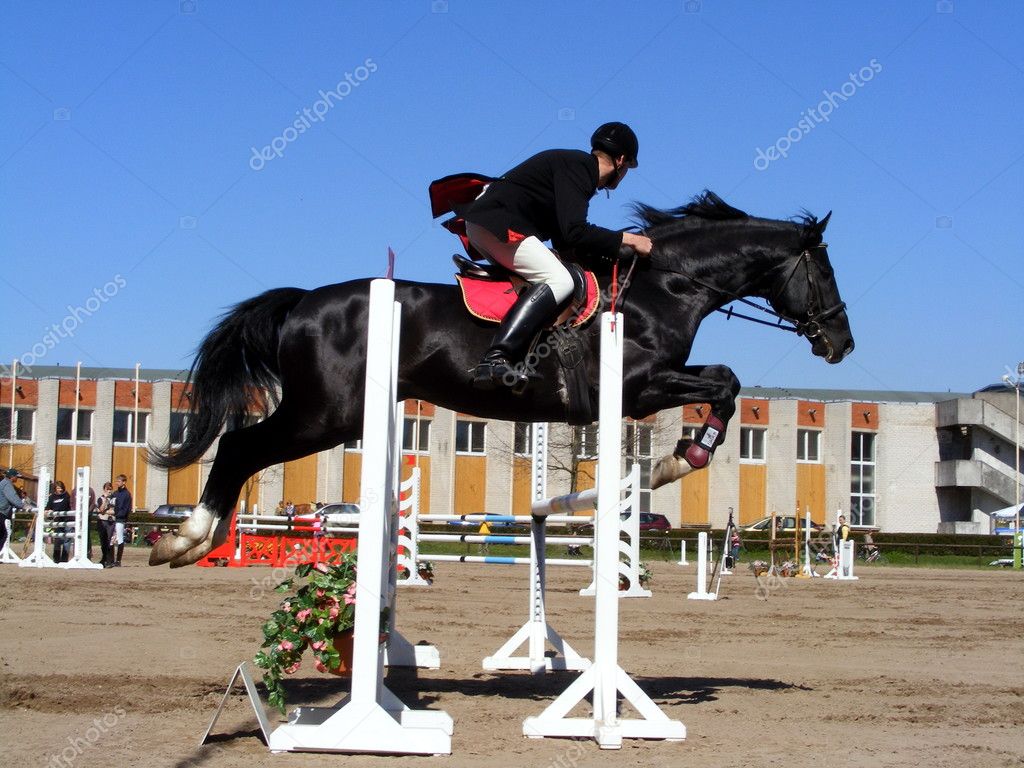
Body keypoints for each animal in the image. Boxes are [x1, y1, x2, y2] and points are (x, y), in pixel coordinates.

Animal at [149, 191, 856, 573]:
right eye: (824, 271)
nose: (842, 344)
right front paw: (679, 461)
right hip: (326, 415)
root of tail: (301, 303)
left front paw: (679, 458)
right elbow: (725, 383)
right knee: (240, 446)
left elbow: (724, 385)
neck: (663, 287)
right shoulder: (639, 386)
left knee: (241, 449)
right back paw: (188, 538)